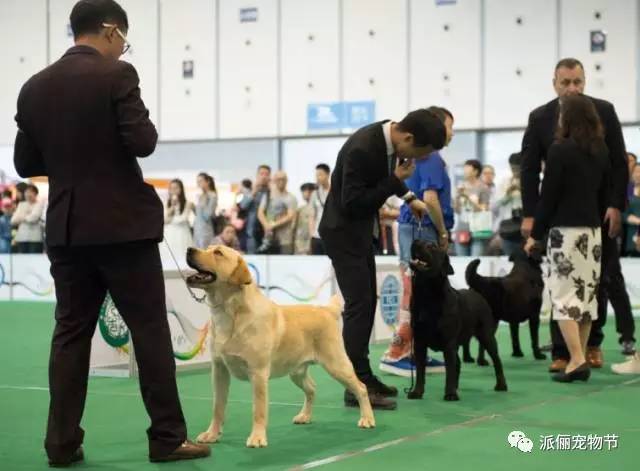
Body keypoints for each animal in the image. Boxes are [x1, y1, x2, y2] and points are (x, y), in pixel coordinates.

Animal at [408, 243, 508, 402]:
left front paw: (450, 394)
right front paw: (417, 392)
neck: (428, 297)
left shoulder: (448, 343)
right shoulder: (419, 342)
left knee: (496, 360)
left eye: (431, 246)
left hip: (487, 336)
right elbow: (420, 371)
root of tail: (476, 293)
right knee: (458, 363)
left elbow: (449, 370)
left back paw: (501, 385)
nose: (415, 241)